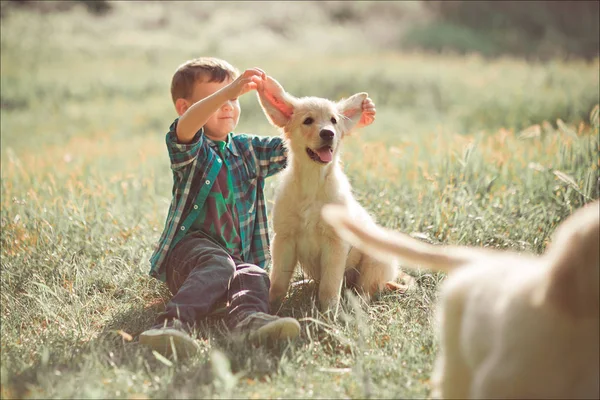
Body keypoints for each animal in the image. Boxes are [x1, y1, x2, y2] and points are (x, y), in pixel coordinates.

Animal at [255, 76, 410, 312]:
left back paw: (356, 306)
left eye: (334, 121)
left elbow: (329, 288)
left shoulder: (335, 243)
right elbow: (278, 283)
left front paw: (328, 316)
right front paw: (271, 308)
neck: (313, 182)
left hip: (376, 258)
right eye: (308, 120)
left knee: (366, 289)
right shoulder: (284, 239)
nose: (328, 133)